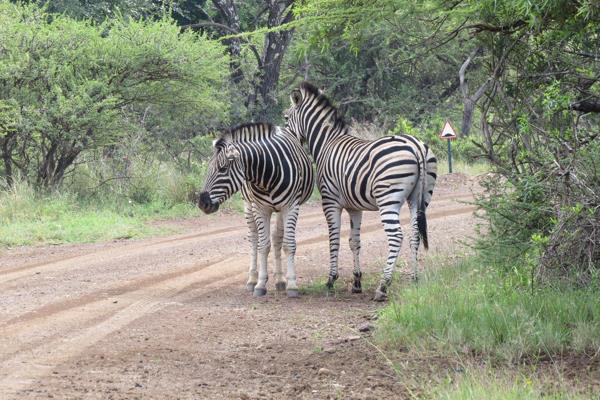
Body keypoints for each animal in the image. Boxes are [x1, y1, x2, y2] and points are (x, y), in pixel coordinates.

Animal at [199, 122, 316, 296]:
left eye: (223, 169)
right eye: (208, 169)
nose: (202, 203)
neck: (267, 175)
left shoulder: (291, 206)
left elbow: (288, 244)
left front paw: (292, 285)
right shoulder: (260, 208)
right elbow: (263, 245)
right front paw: (260, 284)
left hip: (280, 209)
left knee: (277, 237)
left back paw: (280, 279)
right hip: (248, 205)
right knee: (254, 238)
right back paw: (252, 279)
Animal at [284, 82, 438, 300]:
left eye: (286, 118)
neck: (326, 143)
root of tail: (415, 146)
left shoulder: (330, 201)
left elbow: (334, 239)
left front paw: (331, 280)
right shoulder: (354, 207)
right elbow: (354, 241)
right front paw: (357, 282)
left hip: (388, 198)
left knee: (396, 237)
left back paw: (383, 286)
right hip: (420, 198)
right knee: (414, 235)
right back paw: (415, 279)